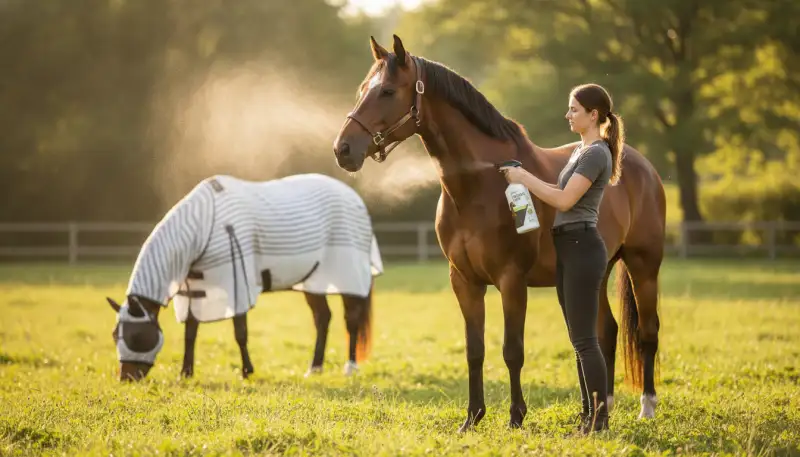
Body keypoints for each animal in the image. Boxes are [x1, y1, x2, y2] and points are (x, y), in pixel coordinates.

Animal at [105, 173, 384, 382]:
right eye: (114, 334)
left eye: (136, 335)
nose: (126, 378)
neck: (205, 224)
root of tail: (355, 199)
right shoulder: (196, 288)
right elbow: (191, 332)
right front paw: (186, 372)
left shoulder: (236, 283)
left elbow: (240, 332)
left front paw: (247, 371)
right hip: (312, 281)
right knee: (323, 319)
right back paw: (314, 368)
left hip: (348, 277)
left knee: (351, 320)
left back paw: (350, 367)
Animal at [332, 35, 666, 432]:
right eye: (361, 89)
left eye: (386, 91)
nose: (343, 149)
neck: (478, 186)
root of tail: (642, 166)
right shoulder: (464, 282)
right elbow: (474, 350)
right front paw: (472, 417)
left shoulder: (511, 280)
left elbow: (512, 350)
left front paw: (516, 417)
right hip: (596, 275)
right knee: (604, 332)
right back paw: (604, 408)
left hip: (643, 266)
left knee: (647, 333)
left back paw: (646, 407)